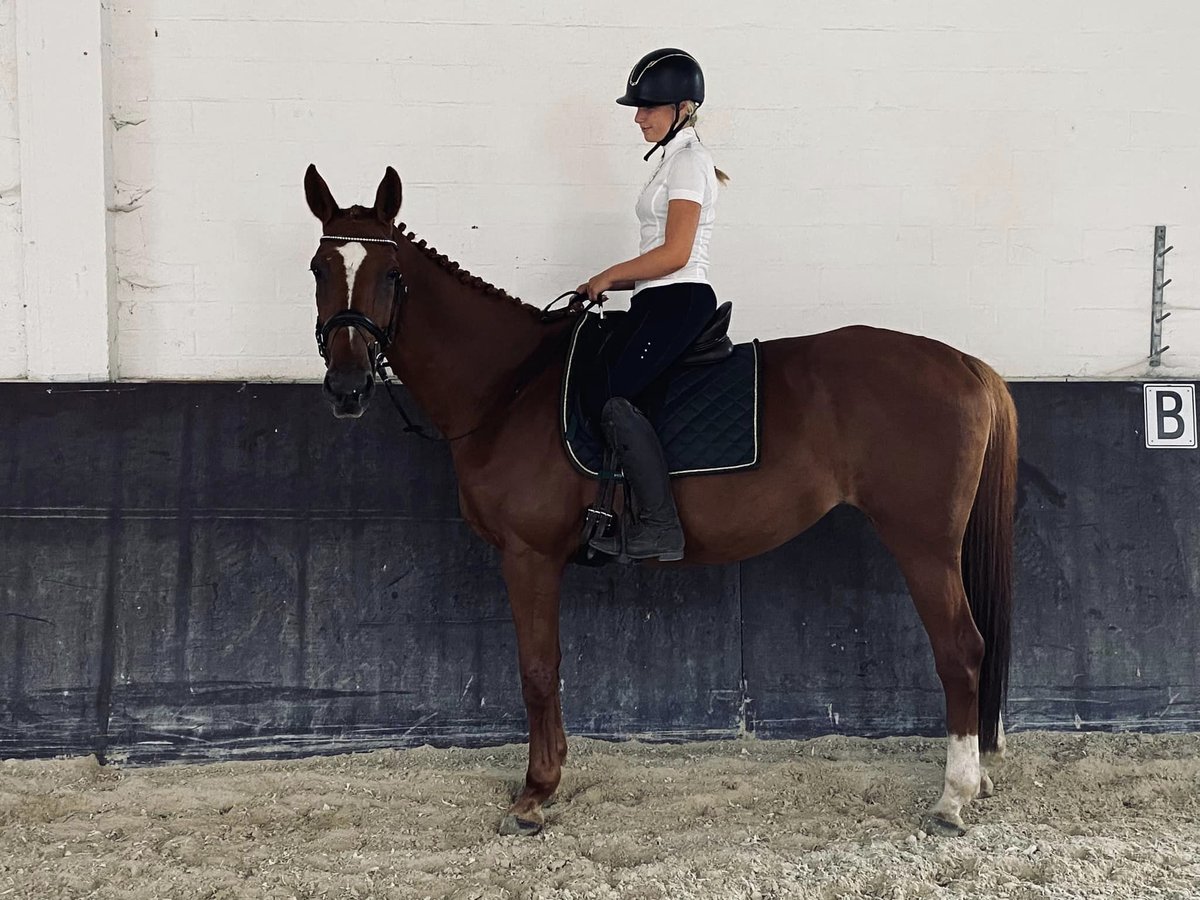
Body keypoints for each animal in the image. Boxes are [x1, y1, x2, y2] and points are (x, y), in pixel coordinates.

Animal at [300, 168, 1012, 840]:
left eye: (392, 275)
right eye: (319, 268)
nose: (346, 387)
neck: (510, 387)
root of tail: (964, 363)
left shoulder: (529, 556)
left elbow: (538, 668)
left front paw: (534, 794)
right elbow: (549, 667)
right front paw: (552, 774)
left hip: (923, 544)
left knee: (961, 650)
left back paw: (952, 798)